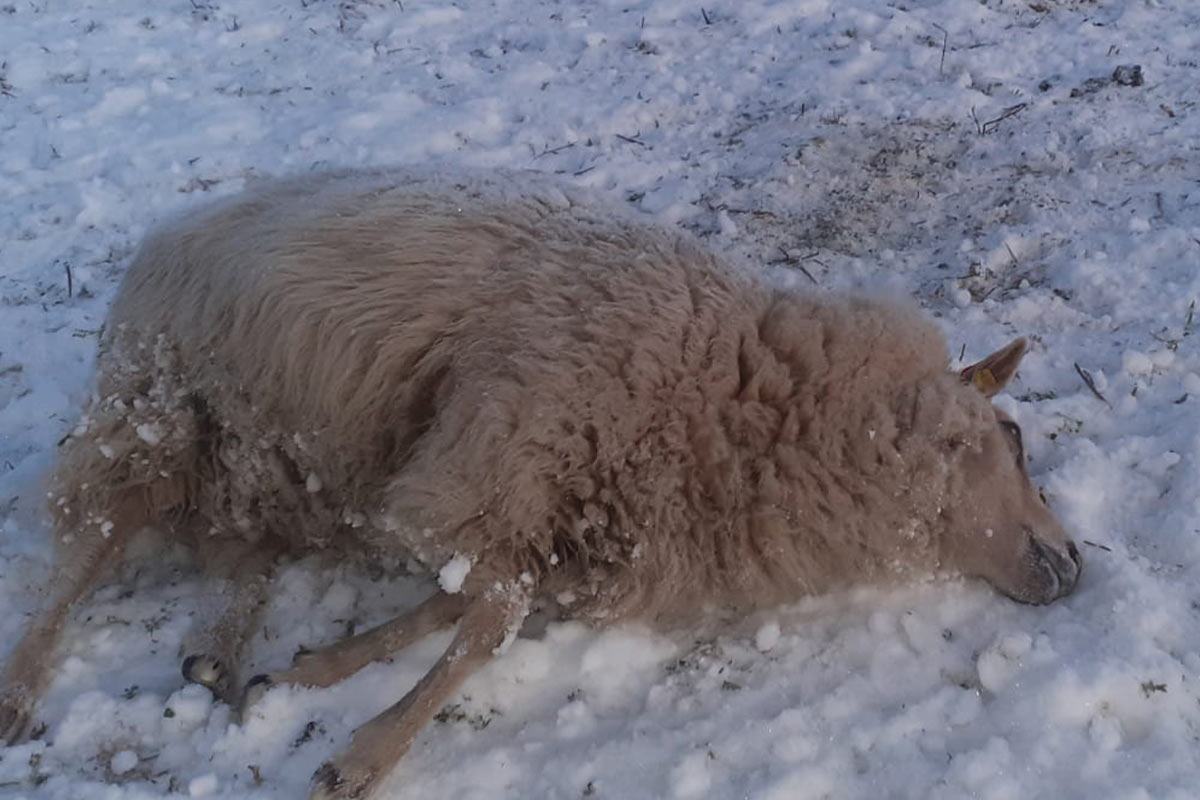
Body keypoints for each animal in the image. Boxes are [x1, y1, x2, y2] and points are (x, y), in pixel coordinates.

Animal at [0, 165, 1084, 796]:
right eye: (1012, 435)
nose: (1077, 564)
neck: (729, 389)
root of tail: (173, 228)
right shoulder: (490, 456)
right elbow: (482, 625)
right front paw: (363, 749)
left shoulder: (562, 519)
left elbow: (465, 610)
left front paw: (321, 668)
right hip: (160, 408)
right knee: (85, 549)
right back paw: (21, 688)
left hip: (268, 466)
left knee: (241, 553)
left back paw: (219, 648)